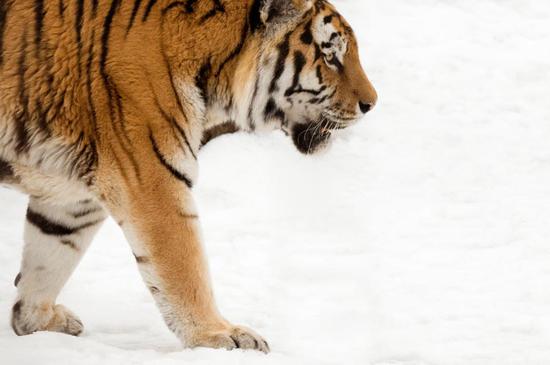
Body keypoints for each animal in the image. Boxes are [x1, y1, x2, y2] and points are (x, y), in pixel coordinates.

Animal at [0, 0, 378, 352]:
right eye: (330, 57)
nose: (371, 104)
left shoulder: (74, 199)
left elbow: (50, 257)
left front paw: (33, 320)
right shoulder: (153, 179)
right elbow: (185, 267)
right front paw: (220, 334)